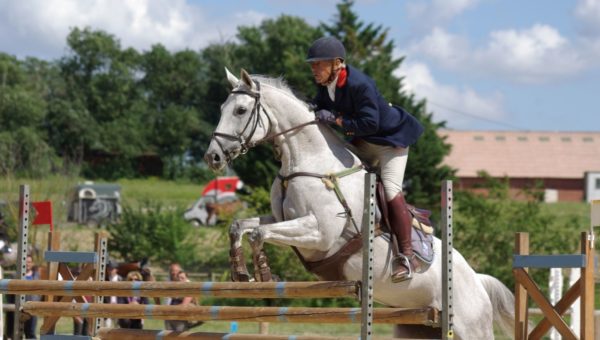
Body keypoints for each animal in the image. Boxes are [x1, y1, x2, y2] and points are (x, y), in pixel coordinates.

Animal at [204, 67, 512, 338]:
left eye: (240, 110)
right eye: (221, 108)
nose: (213, 157)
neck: (308, 160)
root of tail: (477, 281)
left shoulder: (321, 234)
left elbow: (258, 233)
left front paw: (264, 274)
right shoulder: (284, 219)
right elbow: (240, 226)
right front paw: (240, 273)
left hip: (471, 328)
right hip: (416, 326)